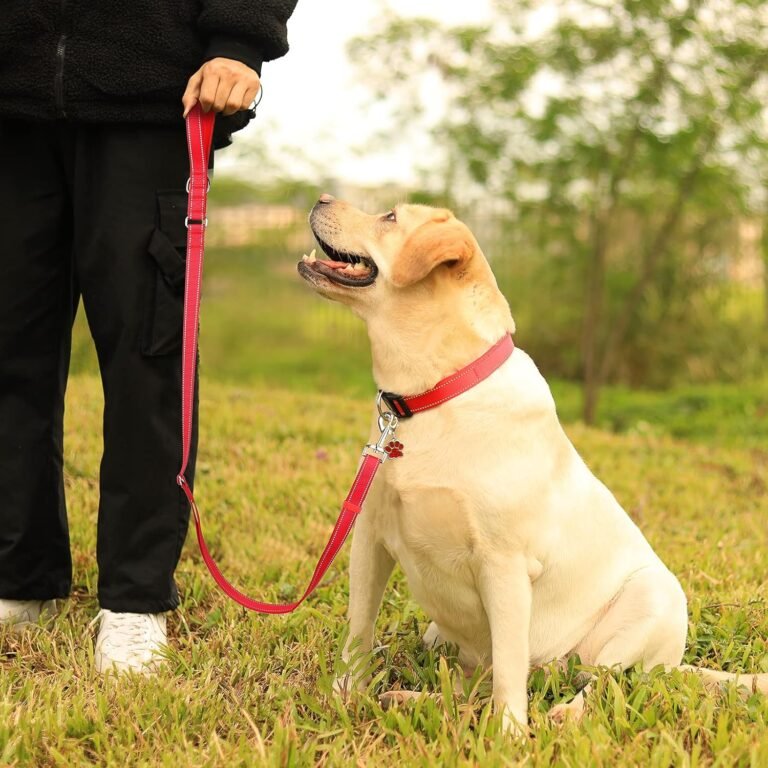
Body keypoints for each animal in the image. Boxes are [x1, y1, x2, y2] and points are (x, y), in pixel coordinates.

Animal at [296, 195, 764, 736]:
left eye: (390, 217)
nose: (320, 198)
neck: (436, 394)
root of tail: (675, 664)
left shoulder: (504, 564)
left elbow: (509, 671)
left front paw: (508, 735)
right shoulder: (369, 539)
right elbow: (359, 631)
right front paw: (342, 696)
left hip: (652, 600)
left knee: (606, 681)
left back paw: (564, 713)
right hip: (440, 633)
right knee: (467, 688)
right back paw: (408, 698)